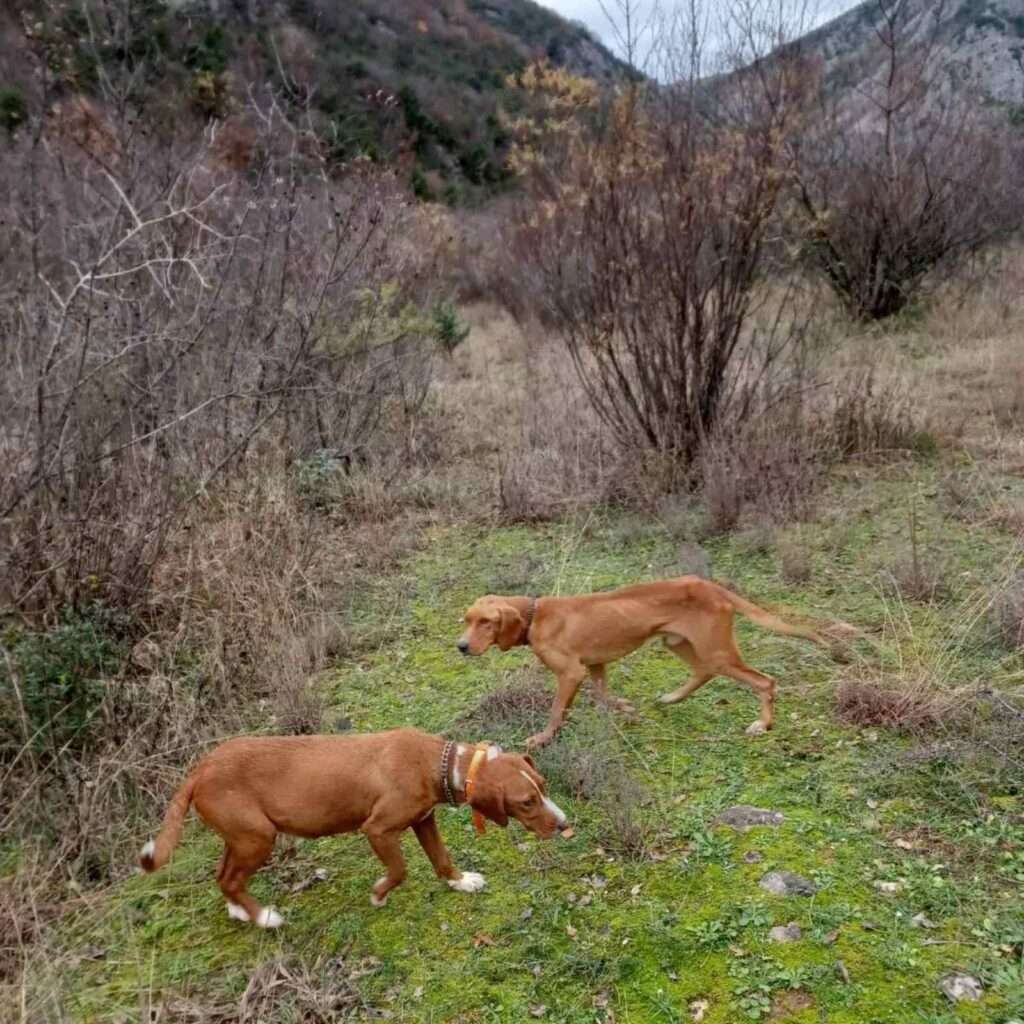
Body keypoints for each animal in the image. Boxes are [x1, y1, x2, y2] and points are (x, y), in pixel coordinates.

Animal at [137, 729, 569, 929]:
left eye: (543, 786)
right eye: (526, 803)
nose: (565, 825)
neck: (437, 763)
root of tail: (201, 768)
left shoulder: (423, 820)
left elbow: (441, 858)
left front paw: (460, 881)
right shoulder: (378, 829)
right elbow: (400, 870)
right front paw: (378, 894)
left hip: (242, 836)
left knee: (223, 875)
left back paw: (239, 911)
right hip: (258, 837)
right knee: (229, 879)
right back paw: (264, 918)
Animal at [460, 577, 835, 753]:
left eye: (486, 622)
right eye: (466, 620)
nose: (460, 646)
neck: (534, 616)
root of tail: (713, 587)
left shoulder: (571, 673)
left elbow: (556, 712)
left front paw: (541, 739)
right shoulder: (595, 666)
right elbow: (605, 697)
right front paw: (627, 709)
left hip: (716, 651)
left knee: (764, 682)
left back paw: (763, 724)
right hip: (680, 643)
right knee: (703, 673)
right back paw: (672, 698)